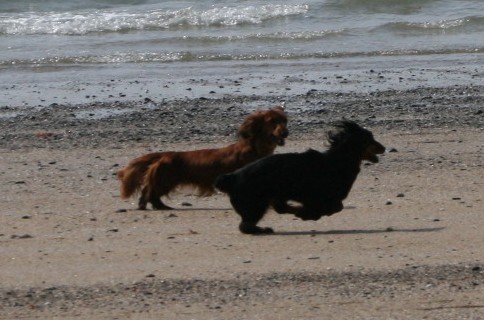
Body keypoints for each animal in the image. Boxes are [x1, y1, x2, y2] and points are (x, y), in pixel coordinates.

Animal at [117, 105, 290, 210]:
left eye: (285, 120)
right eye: (272, 121)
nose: (285, 132)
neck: (254, 148)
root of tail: (165, 154)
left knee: (148, 192)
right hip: (166, 180)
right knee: (151, 192)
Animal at [216, 119, 386, 232]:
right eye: (370, 138)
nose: (384, 148)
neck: (338, 160)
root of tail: (231, 178)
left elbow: (335, 207)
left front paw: (306, 213)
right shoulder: (320, 196)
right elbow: (337, 207)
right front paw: (309, 214)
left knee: (280, 208)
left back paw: (295, 210)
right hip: (255, 204)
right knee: (245, 226)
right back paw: (264, 230)